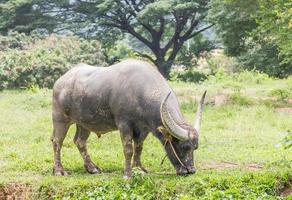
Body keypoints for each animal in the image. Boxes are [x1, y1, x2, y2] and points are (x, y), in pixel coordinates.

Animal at [51, 58, 206, 177]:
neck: (140, 92)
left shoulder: (144, 128)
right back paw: (59, 171)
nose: (190, 170)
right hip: (60, 118)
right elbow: (128, 149)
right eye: (183, 146)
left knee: (80, 141)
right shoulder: (124, 124)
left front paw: (139, 168)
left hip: (84, 123)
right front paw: (128, 173)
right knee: (57, 142)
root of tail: (60, 81)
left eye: (195, 147)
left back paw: (92, 168)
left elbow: (138, 147)